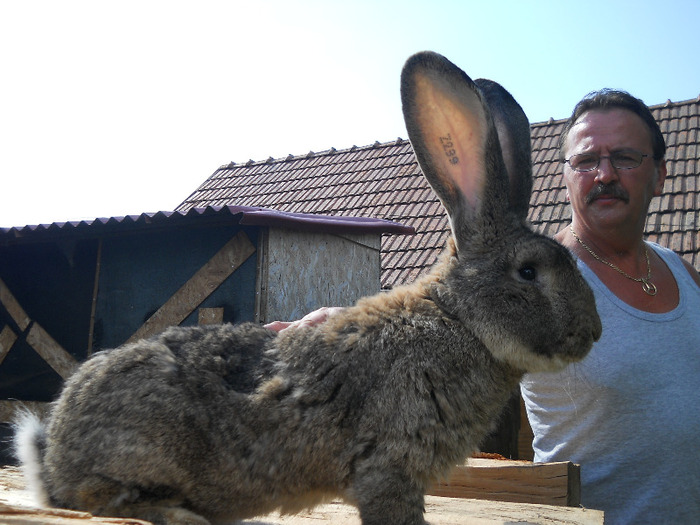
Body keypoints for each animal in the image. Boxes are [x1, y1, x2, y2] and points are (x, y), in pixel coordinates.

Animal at [12, 52, 600, 524]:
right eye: (529, 272)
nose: (592, 332)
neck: (458, 319)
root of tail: (54, 454)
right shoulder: (390, 465)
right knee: (98, 499)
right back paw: (178, 513)